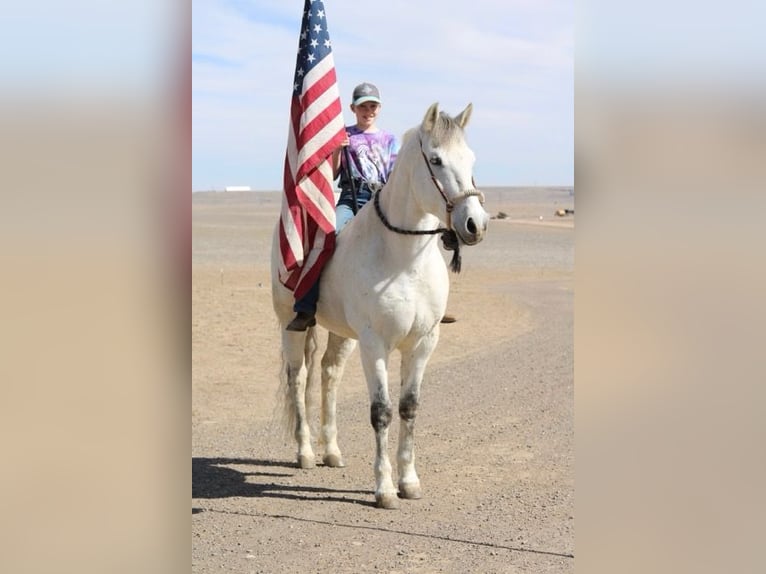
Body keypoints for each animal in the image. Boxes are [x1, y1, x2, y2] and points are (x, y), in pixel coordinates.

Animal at [270, 102, 488, 508]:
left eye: (470, 158)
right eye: (436, 159)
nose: (475, 224)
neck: (404, 260)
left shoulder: (423, 343)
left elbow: (409, 407)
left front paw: (409, 481)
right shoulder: (376, 345)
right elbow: (382, 412)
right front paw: (384, 489)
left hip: (343, 334)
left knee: (329, 373)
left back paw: (331, 451)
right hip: (291, 326)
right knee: (299, 376)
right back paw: (305, 452)